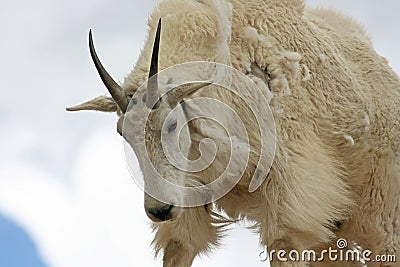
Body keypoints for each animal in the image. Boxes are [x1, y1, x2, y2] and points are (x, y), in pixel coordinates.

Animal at [68, 0, 400, 266]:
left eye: (172, 124)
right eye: (122, 132)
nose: (159, 210)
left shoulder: (292, 189)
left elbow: (283, 243)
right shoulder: (188, 193)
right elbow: (178, 246)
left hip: (382, 210)